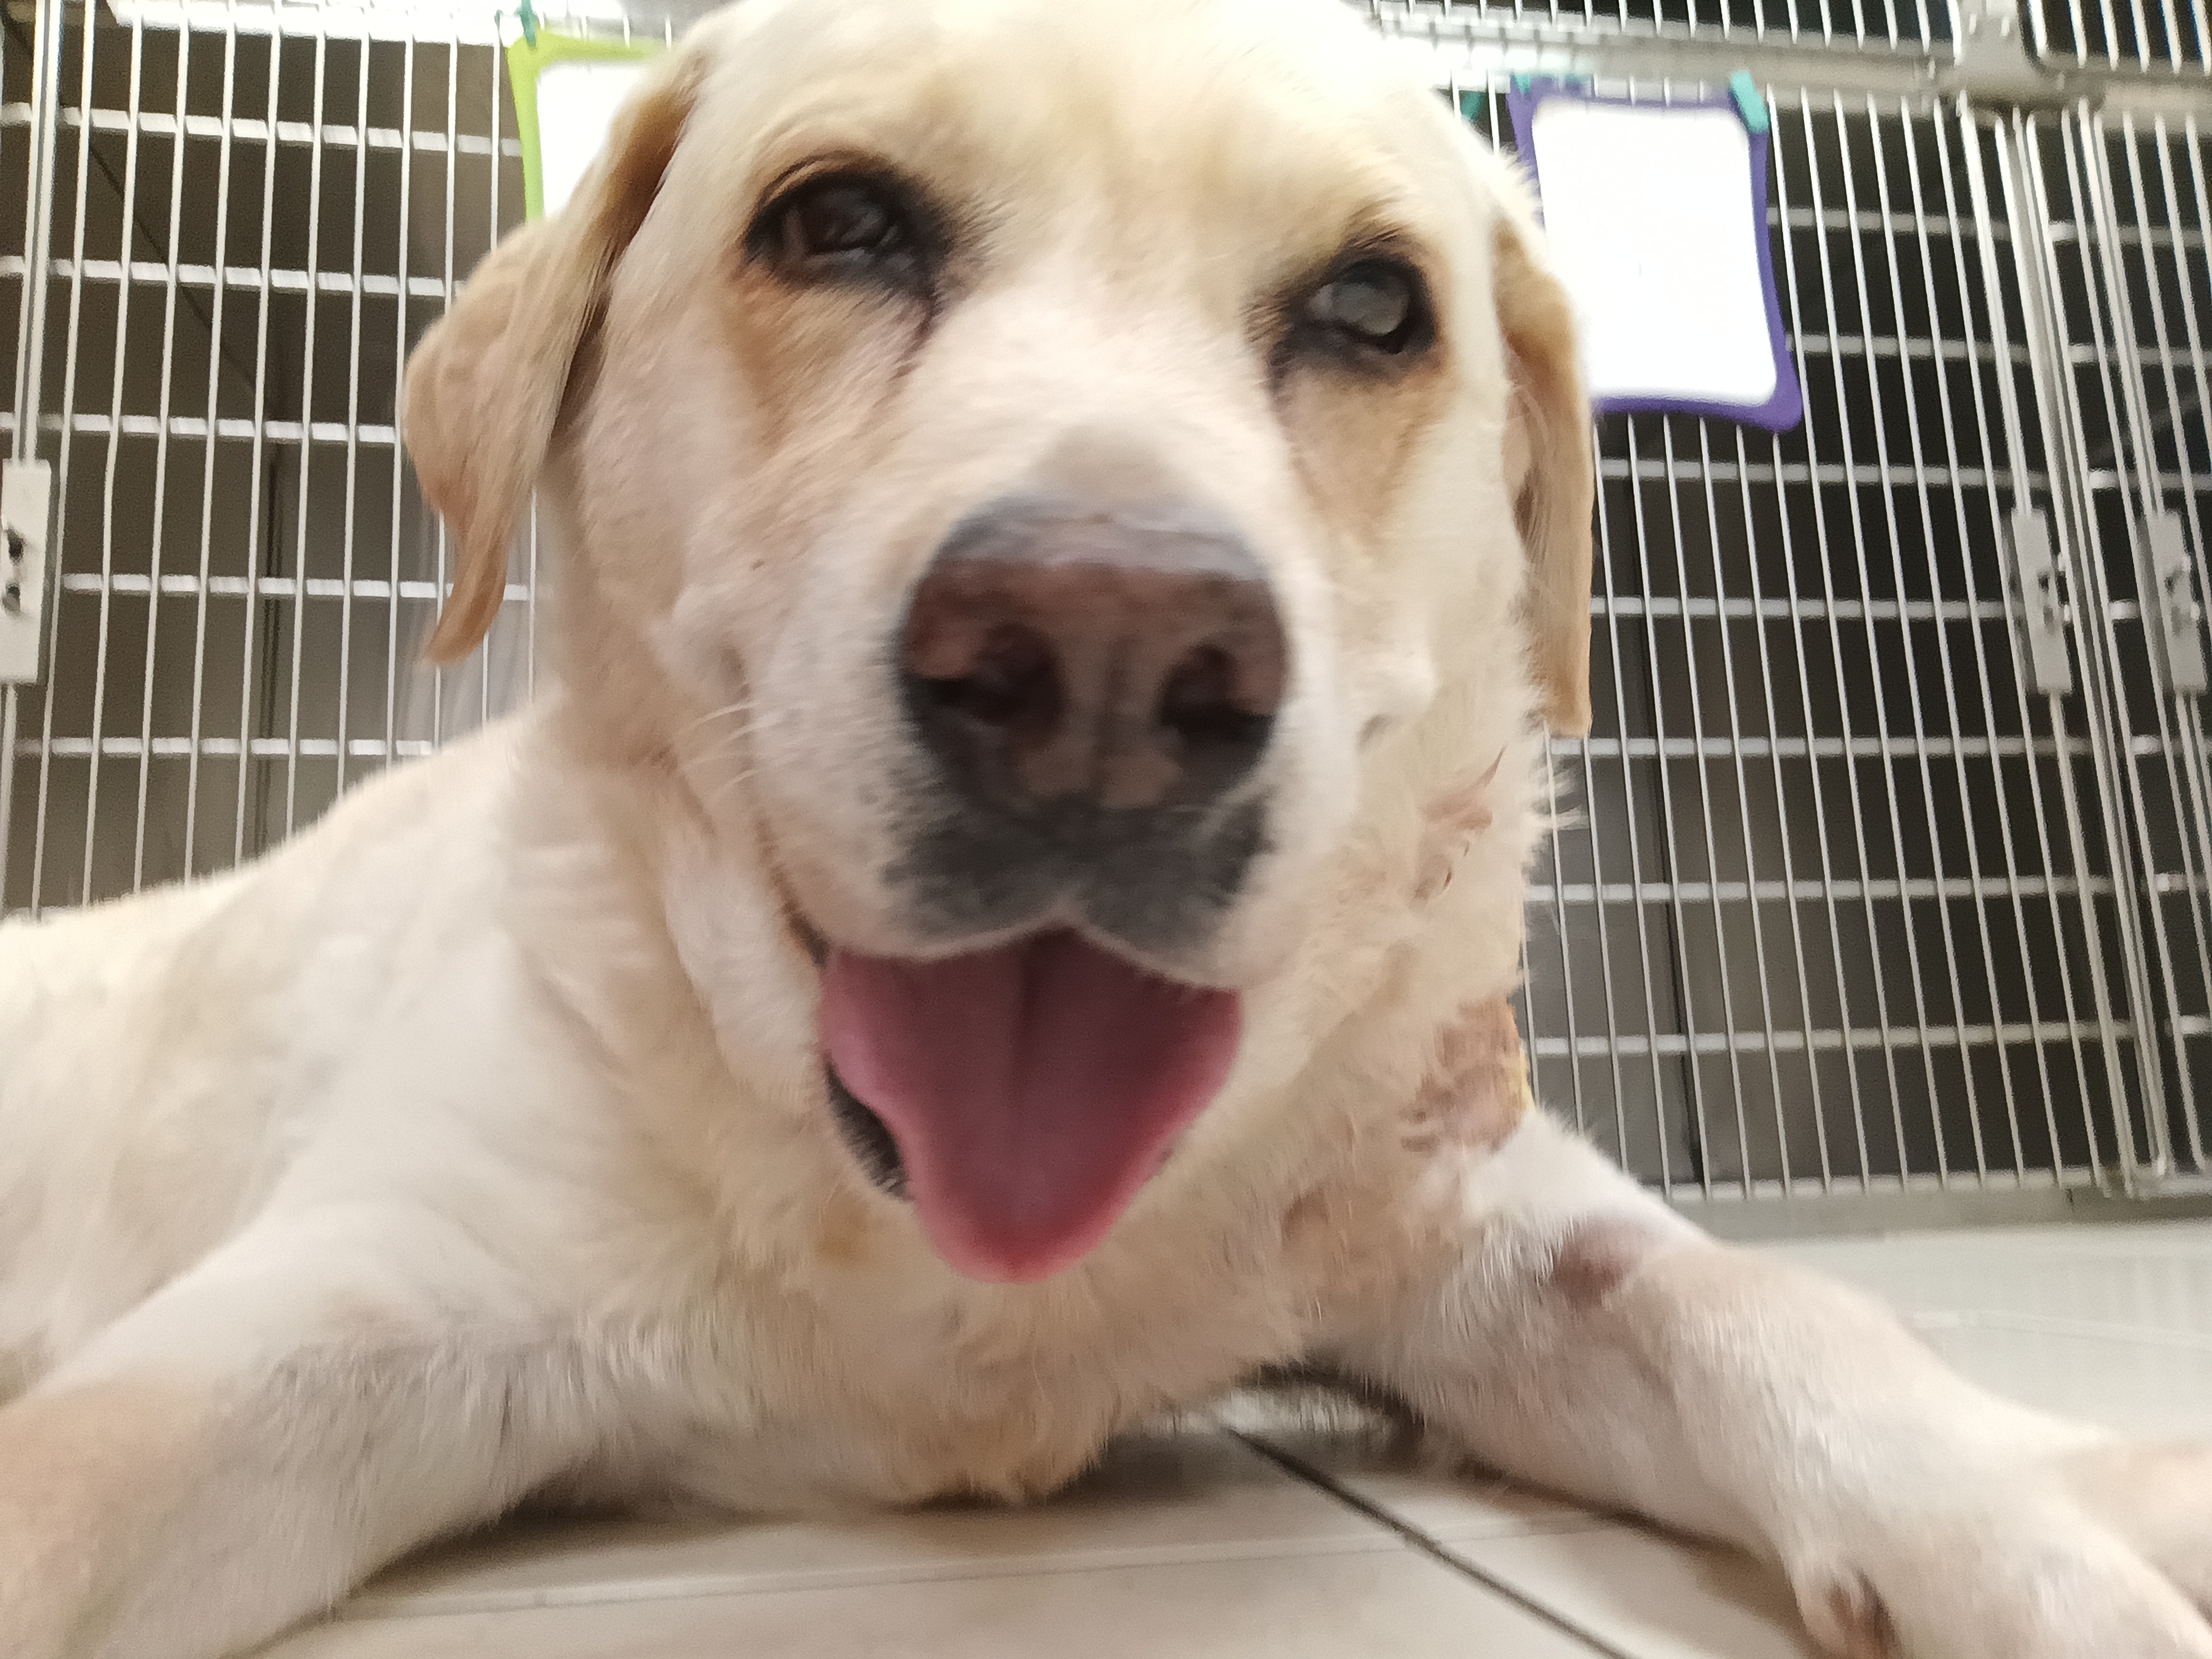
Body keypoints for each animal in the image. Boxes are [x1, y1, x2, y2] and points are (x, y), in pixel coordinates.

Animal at [2, 0, 2208, 1654]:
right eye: (836, 222)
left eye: (1372, 306)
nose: (1105, 667)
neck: (953, 1270)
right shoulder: (368, 1281)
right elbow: (67, 1484)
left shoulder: (1463, 1200)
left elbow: (1759, 1297)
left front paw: (2052, 1520)